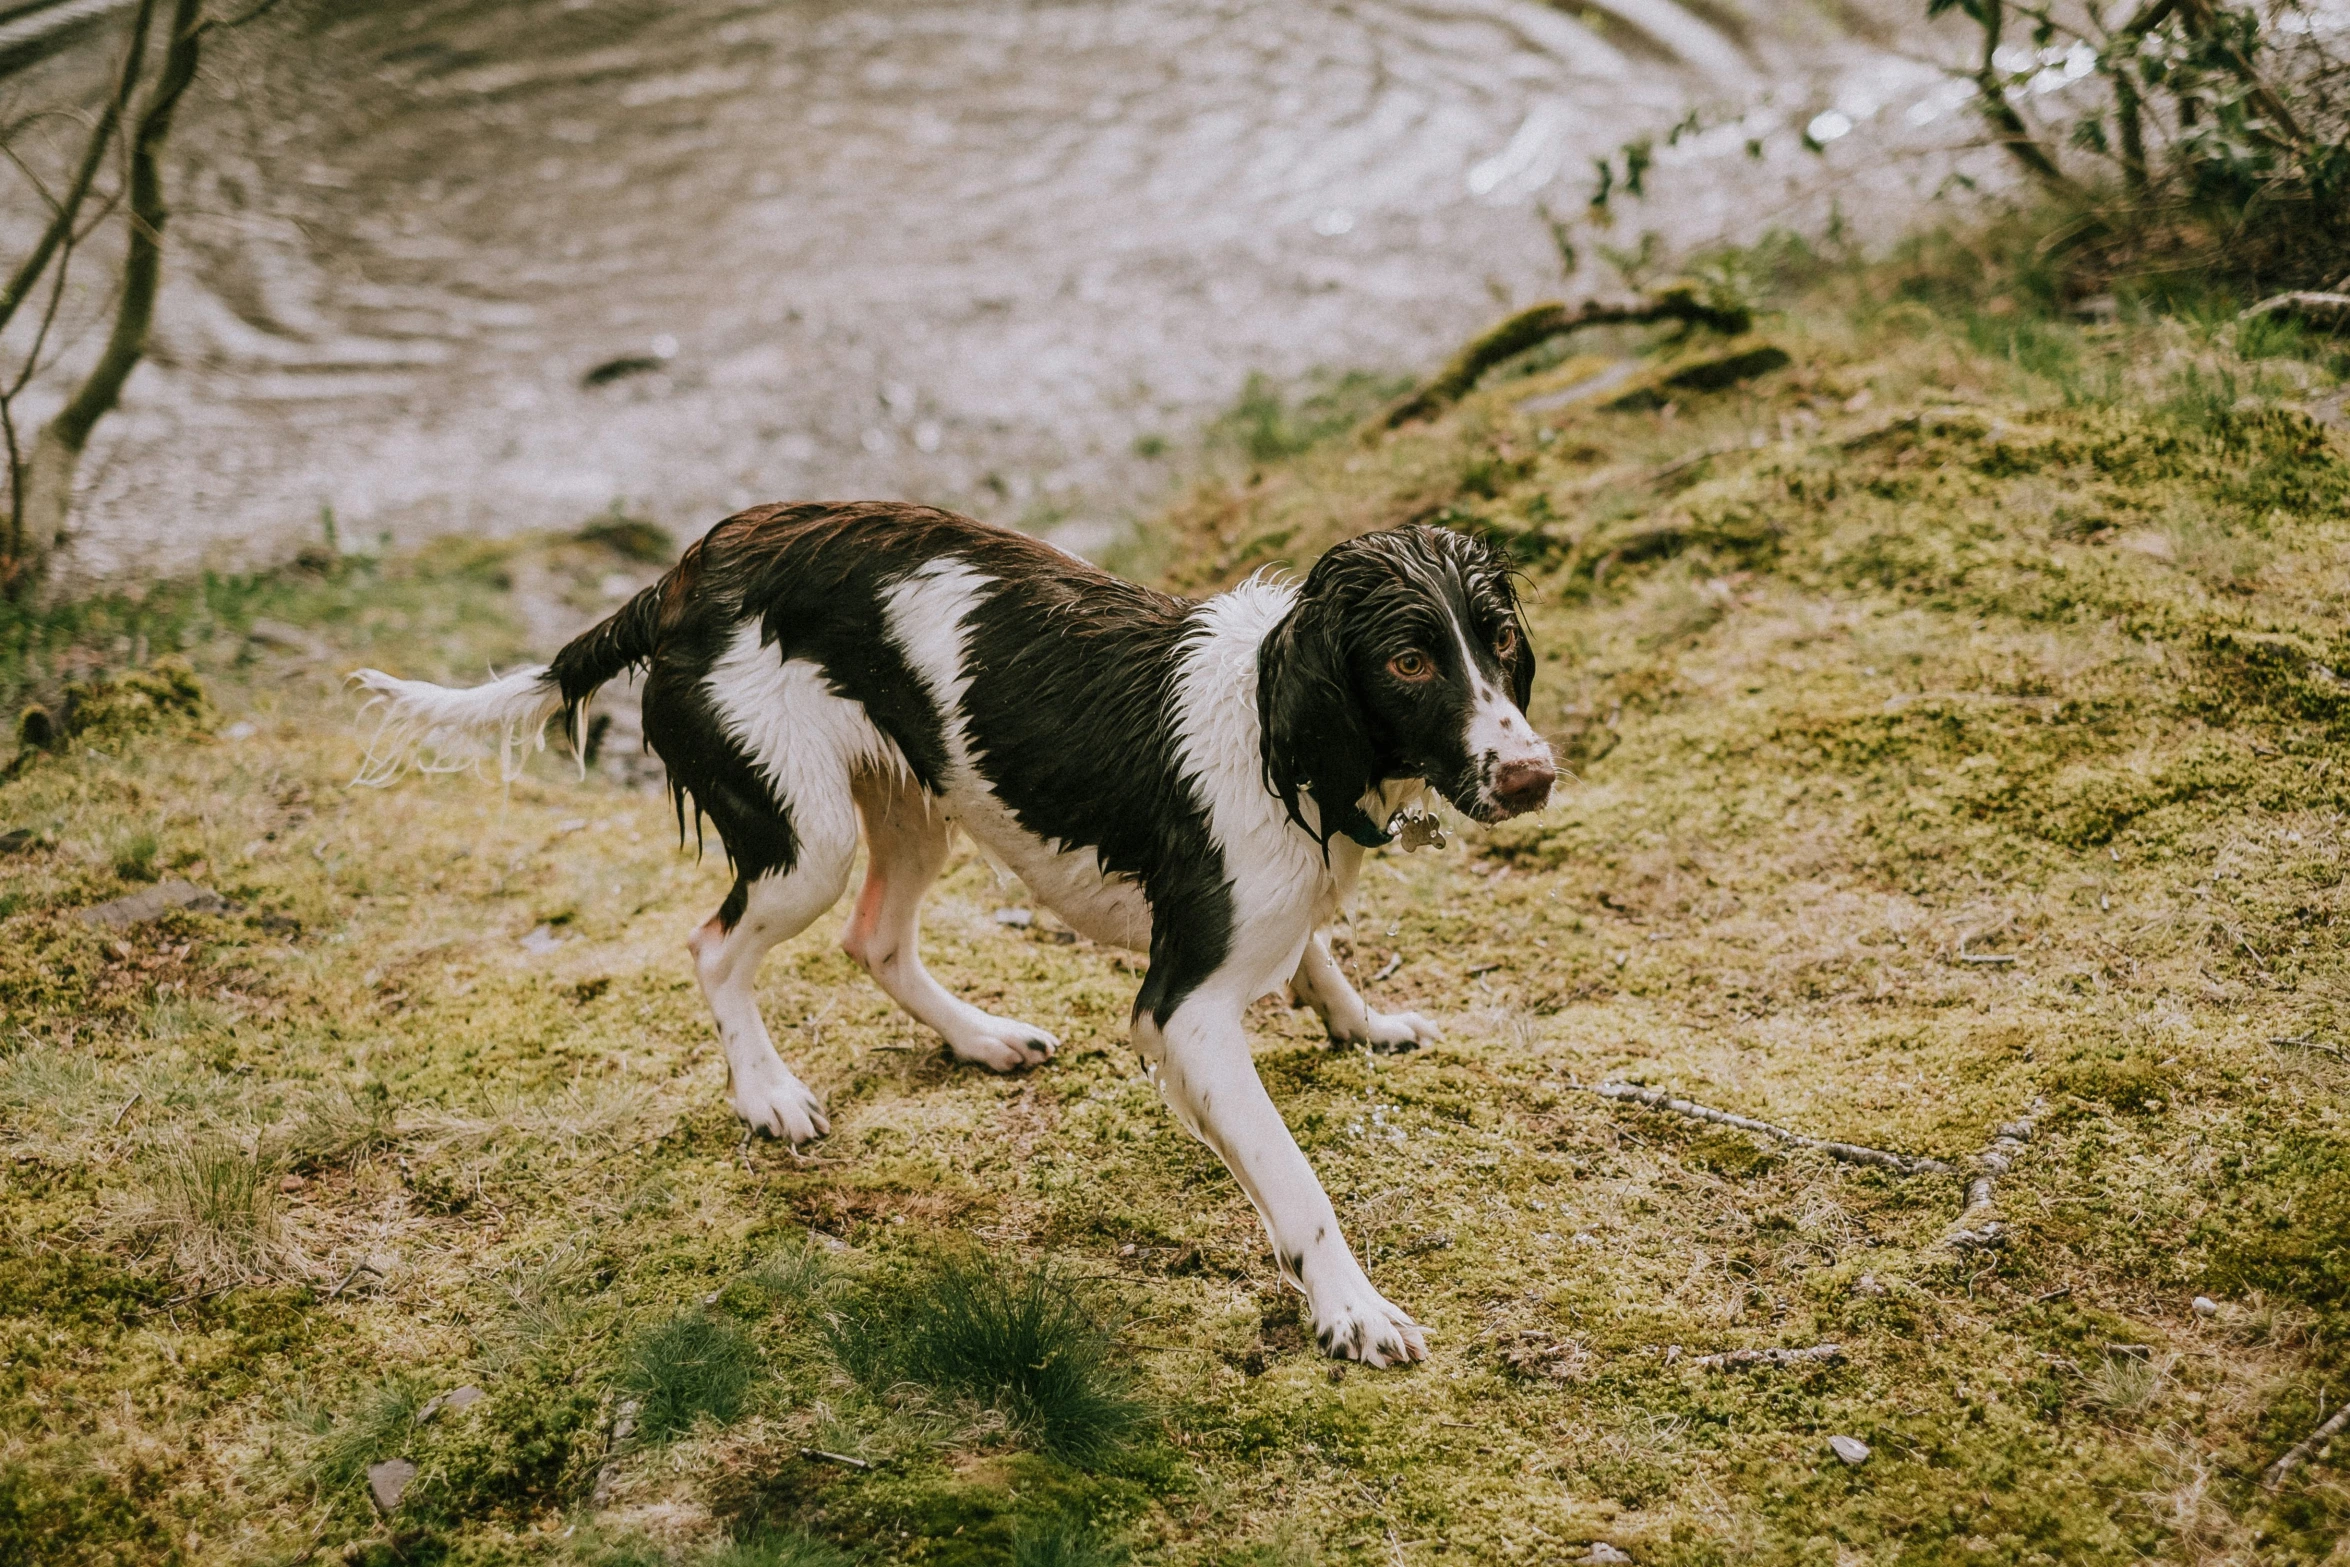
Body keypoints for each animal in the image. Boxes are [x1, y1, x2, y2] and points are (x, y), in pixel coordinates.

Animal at [352, 502, 1560, 1362]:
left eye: (1498, 639)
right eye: (1408, 661)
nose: (1534, 777)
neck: (1276, 728)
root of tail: (688, 571)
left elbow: (1317, 953)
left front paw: (1364, 1022)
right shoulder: (1183, 1010)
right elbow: (1296, 1180)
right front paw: (1352, 1307)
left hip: (912, 801)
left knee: (874, 941)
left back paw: (979, 1037)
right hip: (807, 834)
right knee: (714, 943)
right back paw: (767, 1093)